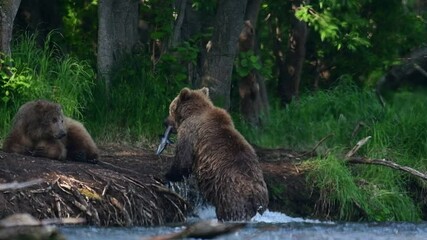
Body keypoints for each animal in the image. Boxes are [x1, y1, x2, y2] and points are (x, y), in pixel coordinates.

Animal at [165, 86, 270, 221]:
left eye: (171, 108)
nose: (165, 122)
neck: (193, 112)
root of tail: (254, 198)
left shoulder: (190, 132)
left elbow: (183, 160)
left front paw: (169, 175)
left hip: (229, 196)